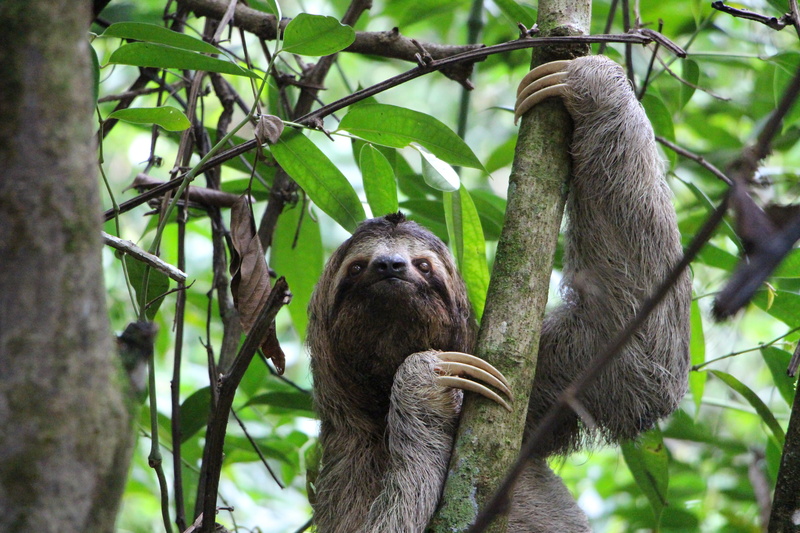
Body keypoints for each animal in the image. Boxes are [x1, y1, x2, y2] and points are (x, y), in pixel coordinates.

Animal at [306, 55, 691, 532]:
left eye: (424, 266)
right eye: (357, 268)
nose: (390, 266)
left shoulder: (531, 377)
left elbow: (634, 349)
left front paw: (591, 81)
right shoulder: (346, 462)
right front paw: (423, 382)